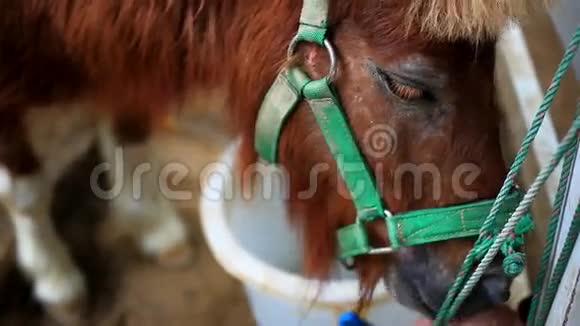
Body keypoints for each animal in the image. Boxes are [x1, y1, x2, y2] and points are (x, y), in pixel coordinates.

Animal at [0, 0, 552, 324]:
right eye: (406, 85)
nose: (492, 282)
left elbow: (128, 128)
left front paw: (153, 226)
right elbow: (26, 190)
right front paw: (56, 280)